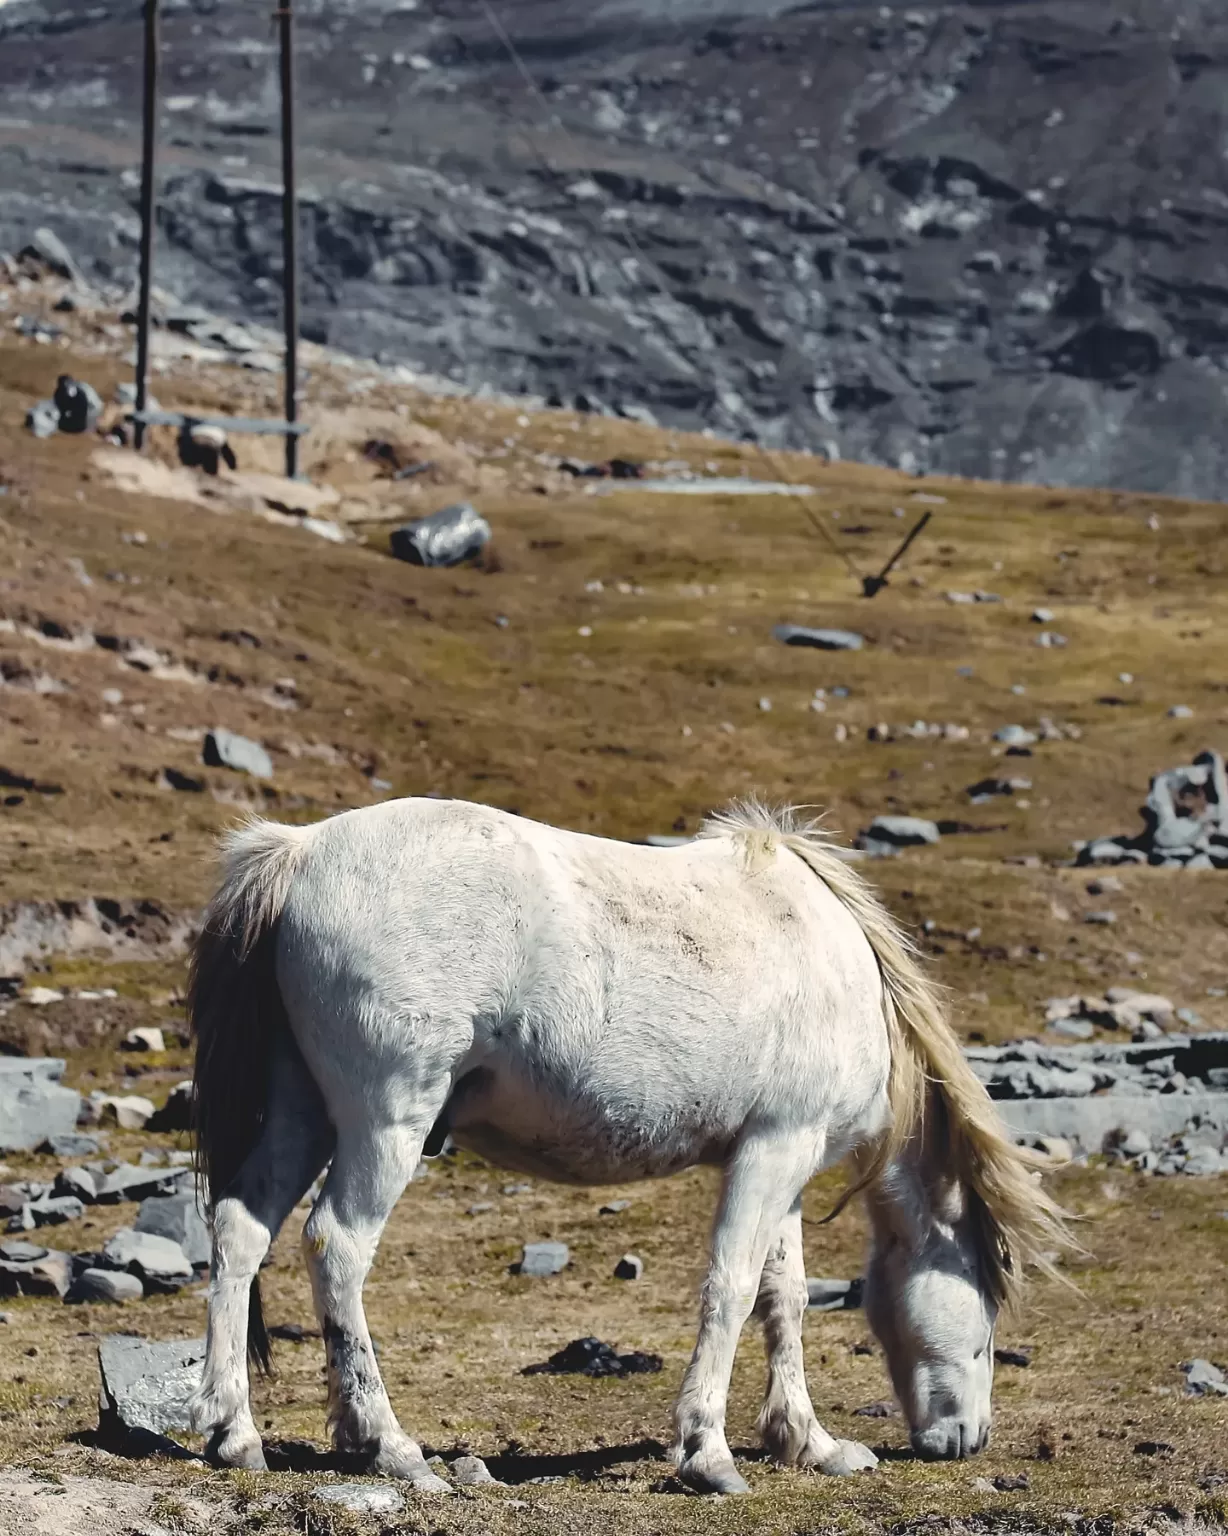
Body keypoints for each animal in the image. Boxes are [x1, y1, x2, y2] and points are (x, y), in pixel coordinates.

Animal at [187, 798, 1069, 1492]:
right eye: (989, 1310)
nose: (967, 1440)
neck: (837, 964)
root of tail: (299, 852)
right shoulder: (775, 1152)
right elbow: (732, 1290)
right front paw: (708, 1454)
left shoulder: (781, 1160)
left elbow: (783, 1297)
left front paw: (809, 1443)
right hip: (386, 1122)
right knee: (335, 1246)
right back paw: (390, 1447)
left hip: (302, 1113)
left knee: (241, 1231)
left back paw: (236, 1434)